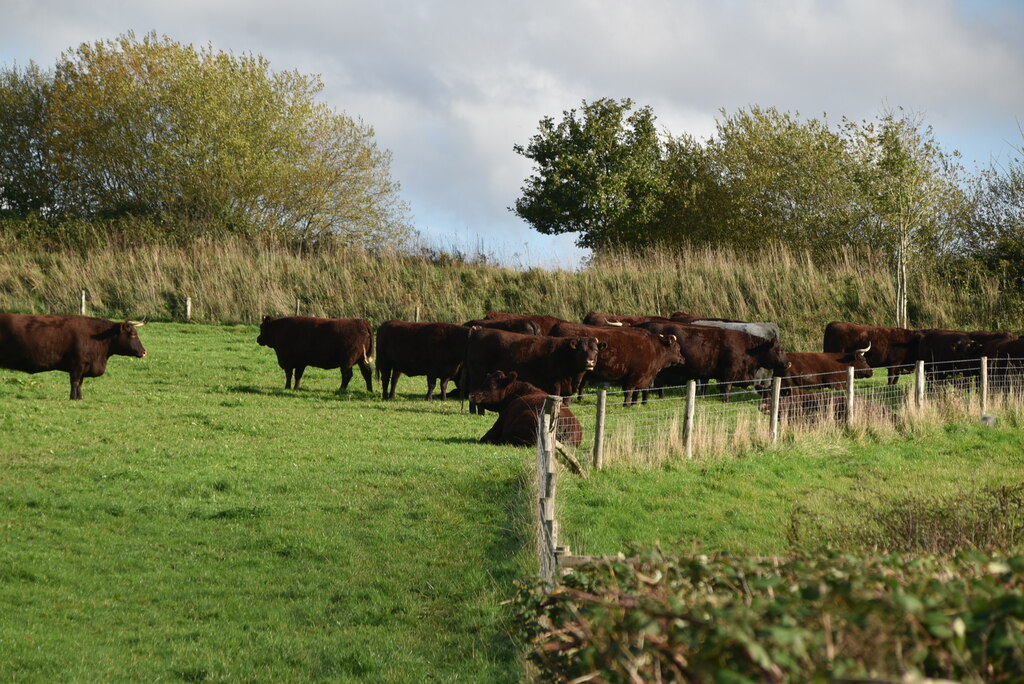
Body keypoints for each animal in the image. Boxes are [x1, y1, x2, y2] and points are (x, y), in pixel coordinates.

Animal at [0, 311, 146, 397]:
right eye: (133, 334)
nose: (144, 352)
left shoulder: (84, 366)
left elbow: (80, 383)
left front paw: (80, 398)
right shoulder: (77, 364)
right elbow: (75, 382)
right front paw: (73, 398)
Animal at [464, 327, 598, 413]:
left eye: (596, 350)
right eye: (581, 350)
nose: (590, 362)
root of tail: (477, 332)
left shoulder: (567, 390)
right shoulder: (554, 385)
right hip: (477, 375)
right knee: (473, 391)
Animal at [548, 321, 684, 405]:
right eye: (677, 348)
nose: (683, 359)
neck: (654, 348)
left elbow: (636, 392)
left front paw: (635, 404)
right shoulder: (635, 376)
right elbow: (629, 391)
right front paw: (627, 405)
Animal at [634, 321, 786, 401]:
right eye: (779, 350)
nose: (788, 362)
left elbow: (706, 387)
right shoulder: (729, 373)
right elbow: (726, 388)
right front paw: (725, 401)